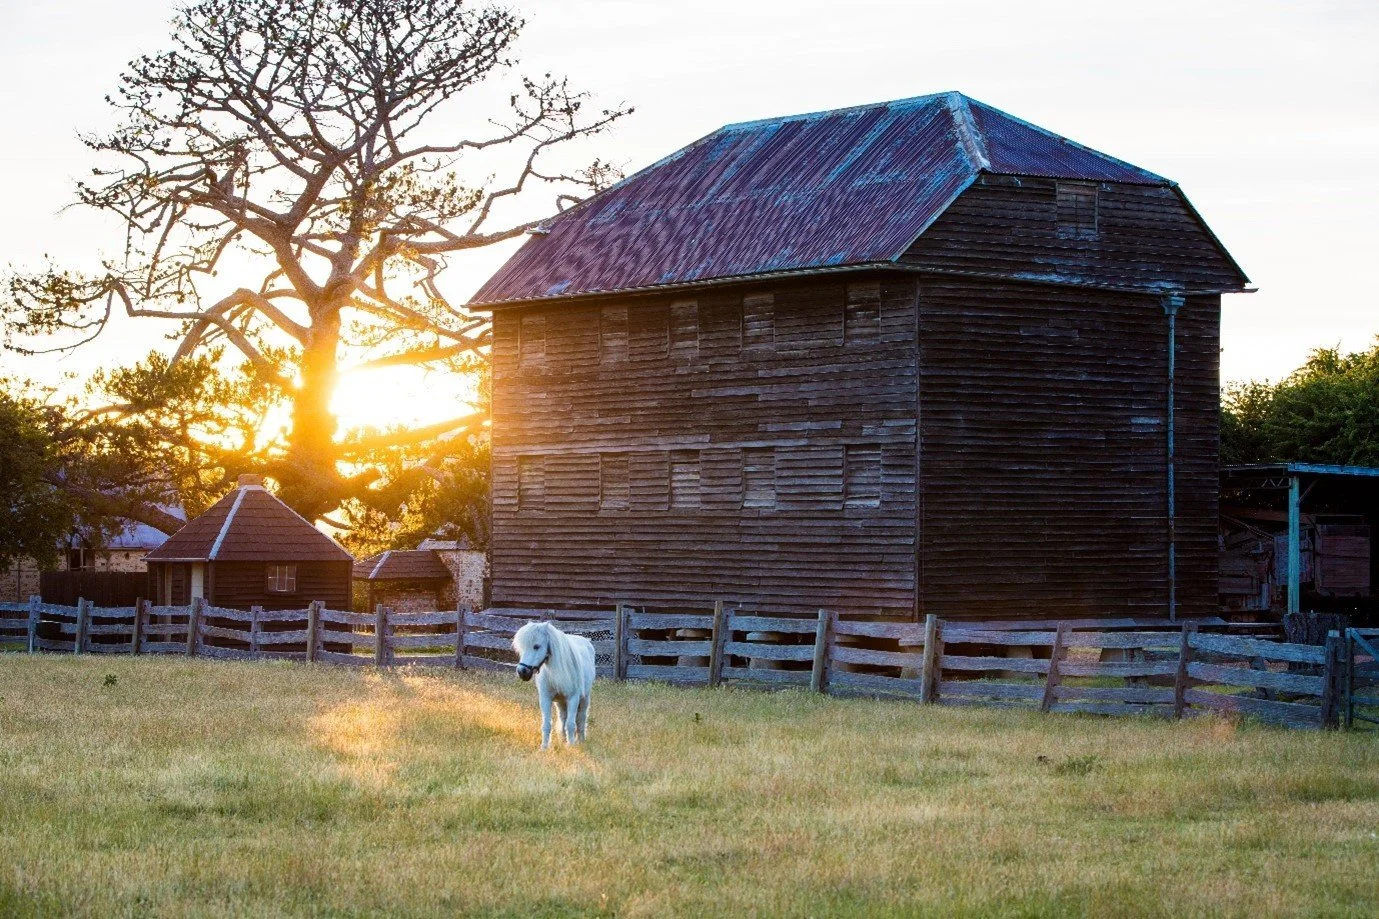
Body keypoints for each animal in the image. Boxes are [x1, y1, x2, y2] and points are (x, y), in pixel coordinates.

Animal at [512, 621, 597, 750]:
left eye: (536, 646)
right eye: (522, 647)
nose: (522, 672)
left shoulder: (573, 698)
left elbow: (571, 724)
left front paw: (571, 746)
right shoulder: (545, 699)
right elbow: (547, 724)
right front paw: (544, 747)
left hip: (584, 698)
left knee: (581, 718)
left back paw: (580, 740)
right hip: (560, 702)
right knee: (563, 718)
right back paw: (563, 740)